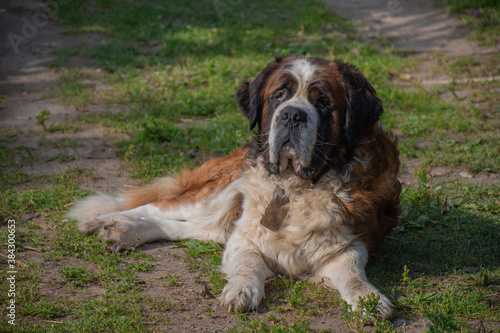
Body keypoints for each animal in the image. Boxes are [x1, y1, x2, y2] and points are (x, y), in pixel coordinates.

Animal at [67, 55, 402, 318]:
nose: (293, 115)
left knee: (184, 226)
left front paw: (368, 298)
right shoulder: (246, 234)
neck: (294, 187)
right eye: (279, 95)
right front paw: (241, 289)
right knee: (155, 207)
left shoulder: (348, 242)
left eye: (324, 103)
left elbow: (352, 271)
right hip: (218, 195)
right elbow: (248, 261)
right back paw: (101, 222)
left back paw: (122, 232)